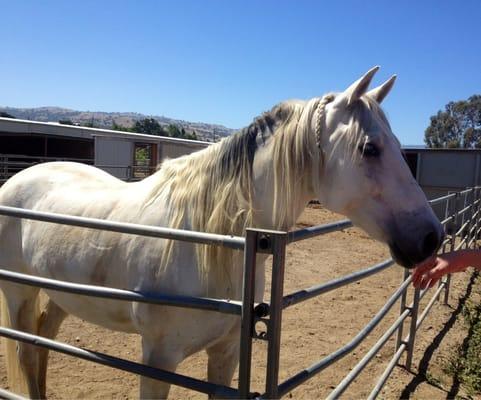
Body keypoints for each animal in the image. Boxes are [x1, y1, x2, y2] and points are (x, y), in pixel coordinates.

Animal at [0, 67, 442, 398]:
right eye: (370, 148)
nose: (431, 237)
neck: (208, 241)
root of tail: (19, 179)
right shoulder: (158, 361)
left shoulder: (226, 355)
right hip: (20, 292)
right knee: (27, 353)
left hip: (62, 294)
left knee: (43, 342)